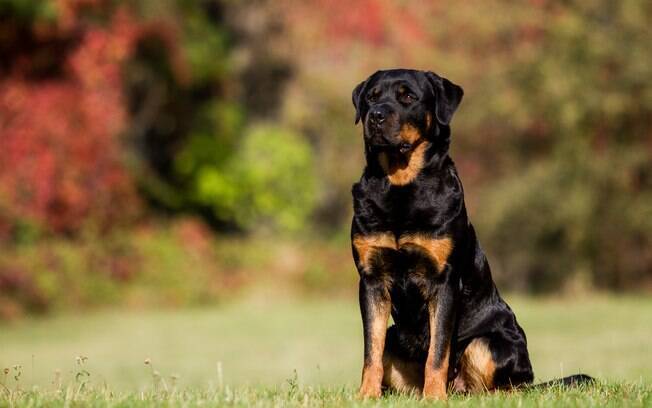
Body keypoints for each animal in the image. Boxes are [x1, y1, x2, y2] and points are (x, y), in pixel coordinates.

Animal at [352, 69, 592, 398]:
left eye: (408, 97)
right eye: (370, 98)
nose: (375, 116)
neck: (401, 187)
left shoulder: (445, 280)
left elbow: (438, 350)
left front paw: (434, 398)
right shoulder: (372, 278)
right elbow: (371, 351)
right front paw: (366, 395)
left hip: (491, 343)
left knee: (507, 385)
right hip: (395, 339)